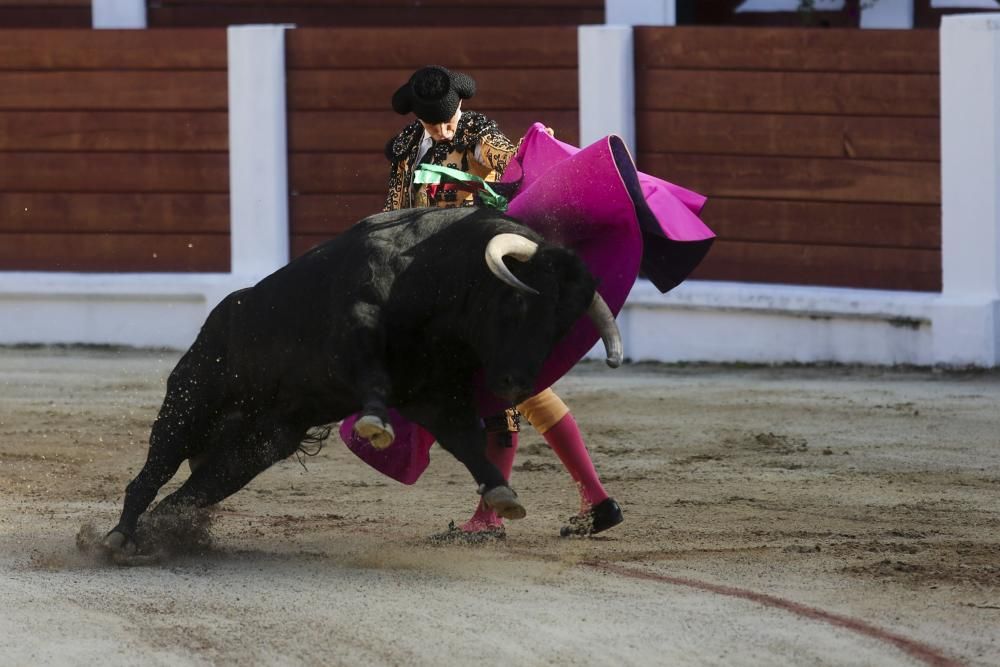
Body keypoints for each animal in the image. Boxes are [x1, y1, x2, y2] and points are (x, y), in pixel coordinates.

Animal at [101, 207, 616, 552]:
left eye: (560, 327)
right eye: (517, 304)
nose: (515, 385)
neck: (432, 273)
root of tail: (219, 317)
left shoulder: (432, 393)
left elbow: (467, 440)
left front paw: (502, 494)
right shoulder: (356, 332)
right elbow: (373, 381)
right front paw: (375, 425)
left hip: (259, 446)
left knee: (192, 493)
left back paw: (158, 535)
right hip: (190, 402)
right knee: (152, 473)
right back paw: (117, 538)